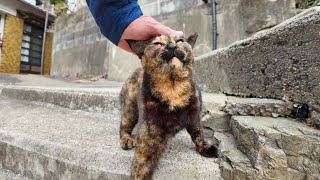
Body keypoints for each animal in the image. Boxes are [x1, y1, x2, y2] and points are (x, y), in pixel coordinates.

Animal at [119, 33, 218, 180]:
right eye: (158, 43)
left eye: (180, 40)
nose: (172, 46)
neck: (173, 88)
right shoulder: (151, 128)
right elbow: (143, 158)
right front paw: (139, 174)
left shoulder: (194, 118)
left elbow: (198, 134)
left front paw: (206, 147)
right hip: (130, 109)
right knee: (124, 126)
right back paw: (126, 139)